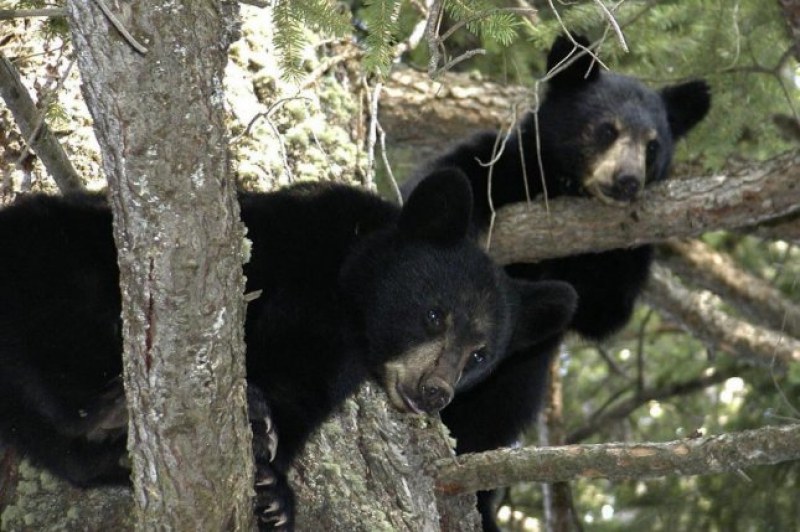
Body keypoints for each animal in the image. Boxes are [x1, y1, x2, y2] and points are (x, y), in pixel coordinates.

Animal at [0, 169, 580, 528]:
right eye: (435, 314)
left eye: (479, 354)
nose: (436, 391)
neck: (346, 297)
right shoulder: (286, 241)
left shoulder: (330, 359)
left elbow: (295, 398)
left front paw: (274, 493)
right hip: (51, 255)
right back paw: (108, 408)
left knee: (70, 457)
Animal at [406, 35, 712, 528]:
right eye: (606, 130)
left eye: (652, 145)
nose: (627, 181)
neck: (565, 186)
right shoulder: (505, 161)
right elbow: (445, 184)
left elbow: (604, 310)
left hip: (505, 397)